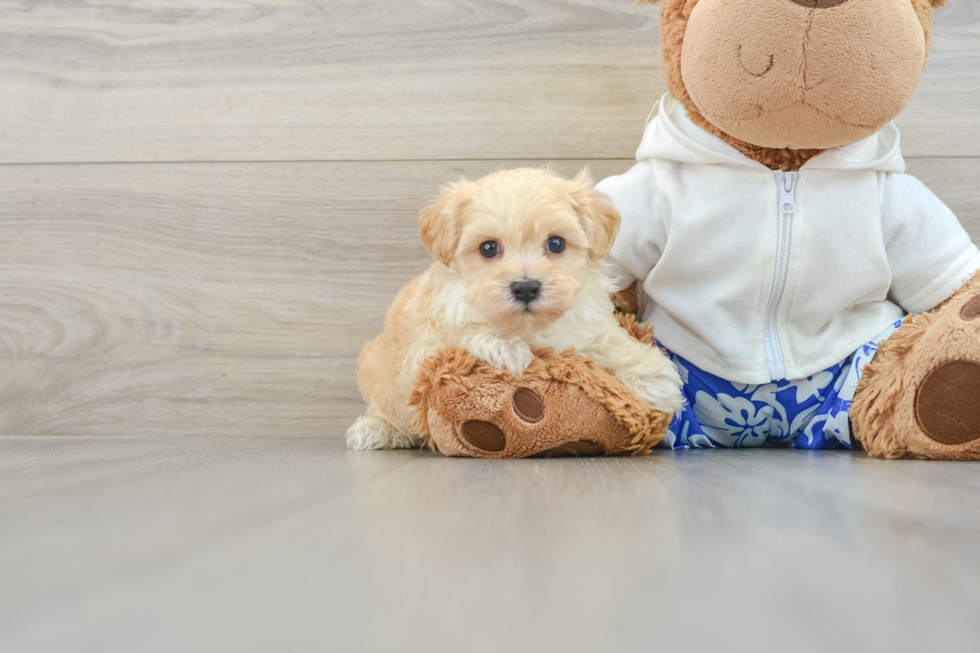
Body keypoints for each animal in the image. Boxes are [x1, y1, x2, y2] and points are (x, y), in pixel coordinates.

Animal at [346, 169, 680, 448]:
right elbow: (461, 333)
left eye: (556, 244)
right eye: (488, 248)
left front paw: (656, 378)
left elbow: (608, 338)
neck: (527, 327)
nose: (526, 287)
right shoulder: (424, 351)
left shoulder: (585, 322)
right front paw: (507, 348)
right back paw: (374, 430)